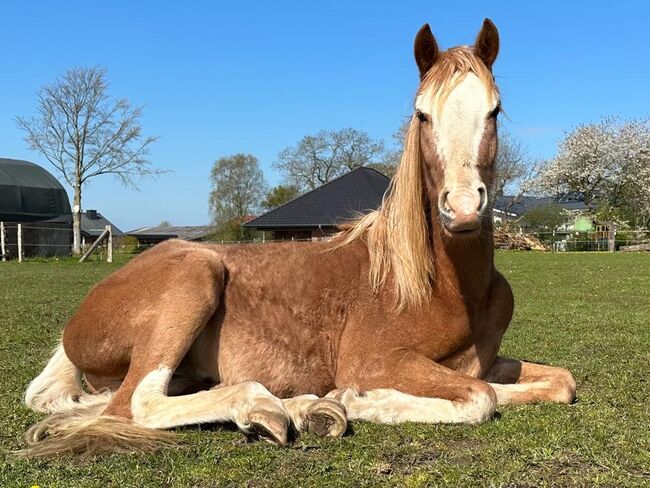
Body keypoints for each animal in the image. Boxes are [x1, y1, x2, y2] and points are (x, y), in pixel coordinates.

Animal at [22, 16, 576, 458]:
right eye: (423, 114)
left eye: (495, 111)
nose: (462, 208)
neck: (442, 284)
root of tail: (81, 316)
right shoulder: (376, 360)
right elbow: (479, 398)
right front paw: (358, 399)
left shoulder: (485, 364)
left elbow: (555, 384)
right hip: (196, 276)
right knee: (136, 403)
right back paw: (274, 407)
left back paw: (307, 408)